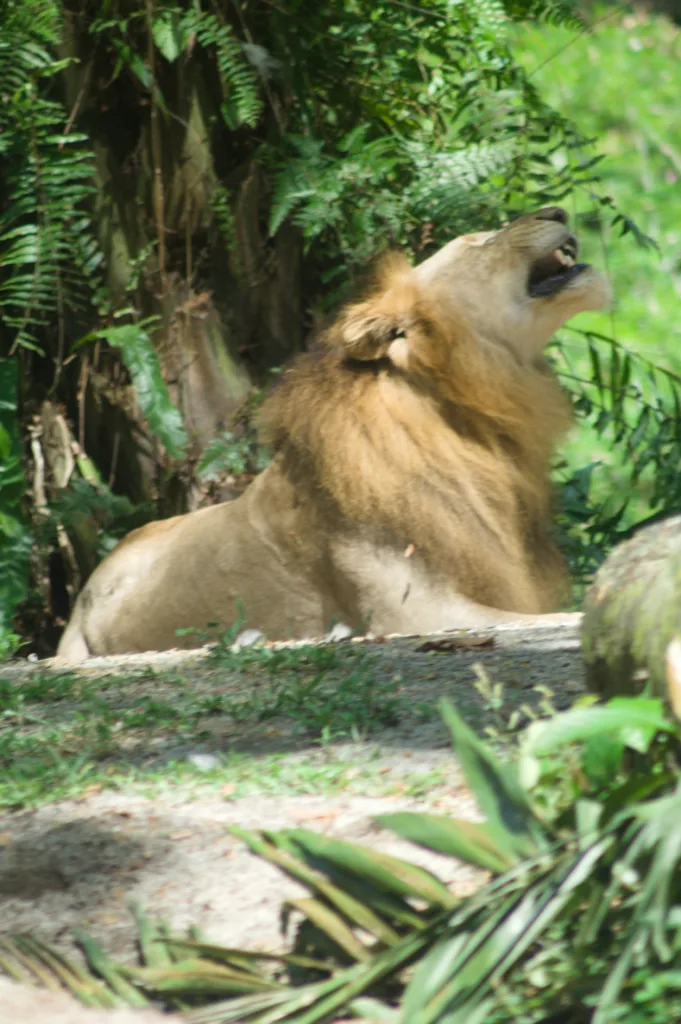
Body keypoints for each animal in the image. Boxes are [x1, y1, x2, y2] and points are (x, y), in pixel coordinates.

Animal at [56, 206, 610, 663]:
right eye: (476, 241)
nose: (557, 210)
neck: (469, 417)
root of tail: (80, 597)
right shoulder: (416, 612)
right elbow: (568, 616)